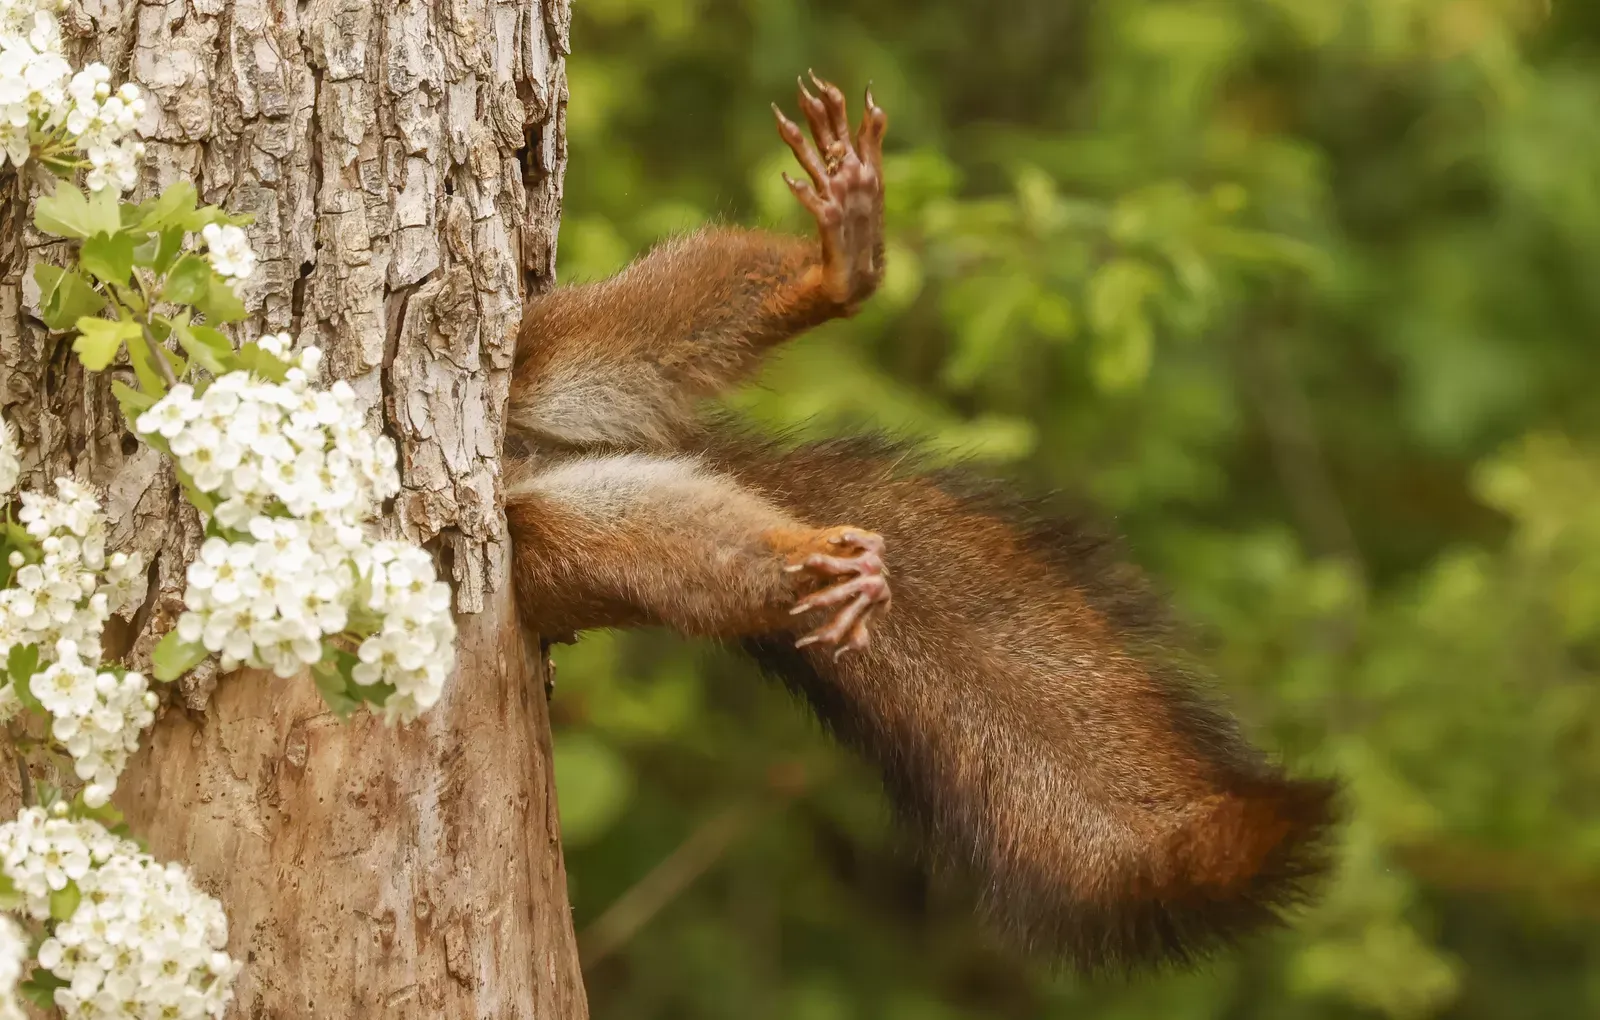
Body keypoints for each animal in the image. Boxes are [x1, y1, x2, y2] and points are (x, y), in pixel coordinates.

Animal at [502, 71, 1337, 972]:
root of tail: (527, 458)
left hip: (549, 350)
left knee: (657, 318)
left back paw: (840, 267)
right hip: (557, 543)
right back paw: (818, 563)